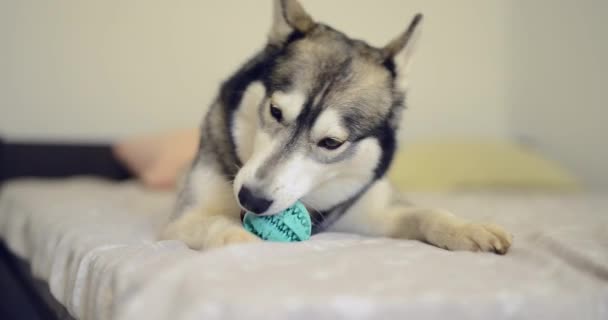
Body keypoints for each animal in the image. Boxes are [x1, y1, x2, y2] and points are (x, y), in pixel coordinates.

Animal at [159, 0, 510, 255]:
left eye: (330, 143)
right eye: (275, 111)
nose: (251, 199)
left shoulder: (373, 210)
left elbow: (426, 212)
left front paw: (467, 228)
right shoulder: (184, 219)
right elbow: (217, 226)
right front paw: (248, 244)